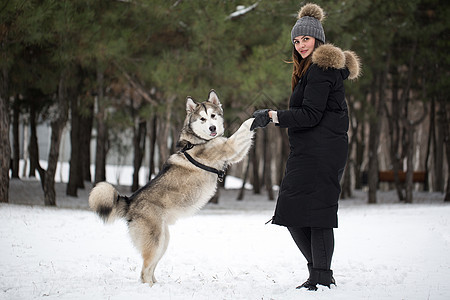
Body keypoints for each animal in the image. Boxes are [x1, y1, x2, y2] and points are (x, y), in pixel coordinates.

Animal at [89, 89, 255, 286]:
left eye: (213, 116)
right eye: (202, 119)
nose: (212, 129)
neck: (198, 141)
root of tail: (130, 202)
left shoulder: (233, 154)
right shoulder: (230, 147)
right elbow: (242, 129)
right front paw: (256, 117)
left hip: (163, 241)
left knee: (150, 268)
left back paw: (157, 285)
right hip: (155, 241)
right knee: (144, 271)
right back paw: (149, 288)